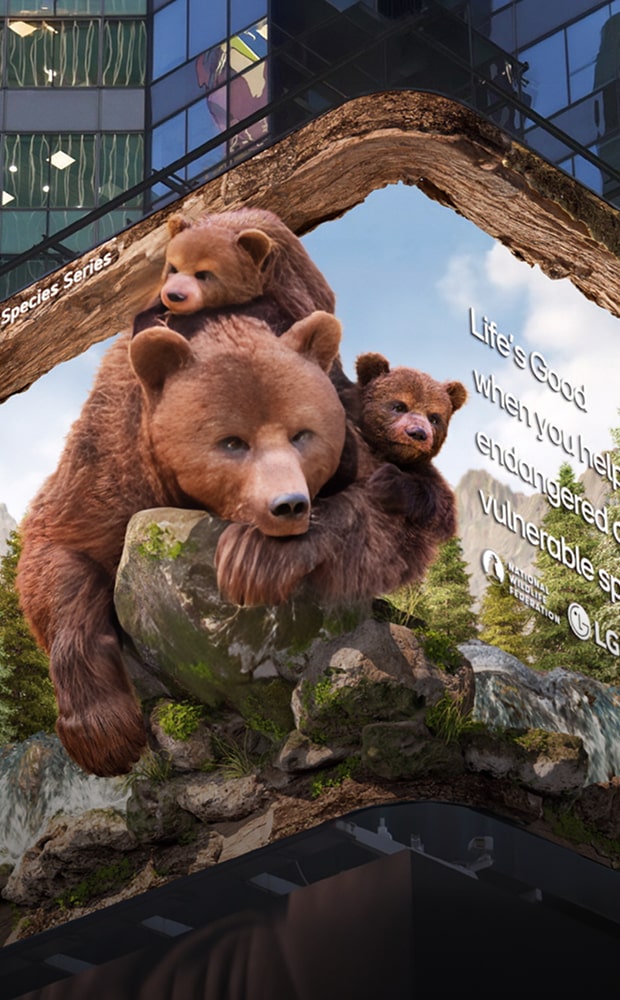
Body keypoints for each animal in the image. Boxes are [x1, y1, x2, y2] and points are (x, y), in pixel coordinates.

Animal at [16, 309, 346, 777]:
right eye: (232, 441)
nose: (288, 505)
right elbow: (59, 556)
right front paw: (106, 736)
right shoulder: (106, 468)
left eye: (302, 433)